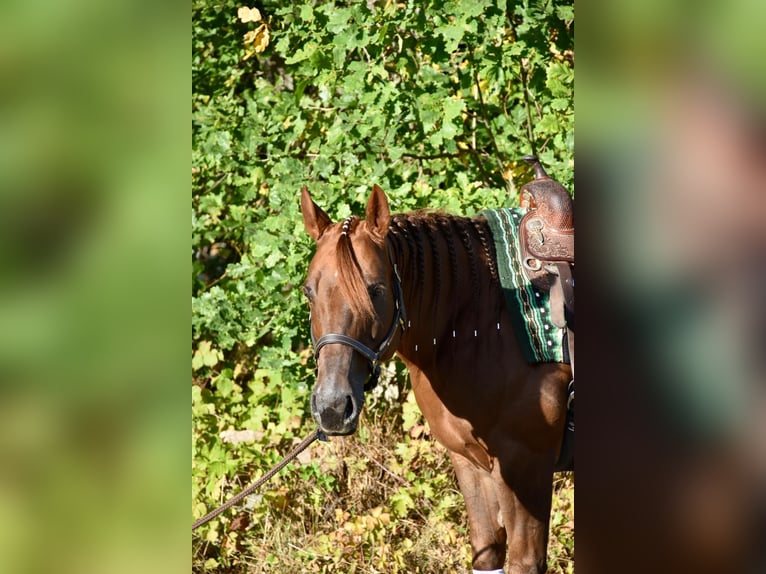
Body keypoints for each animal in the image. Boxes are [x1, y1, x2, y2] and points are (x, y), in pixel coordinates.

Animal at [300, 184, 572, 574]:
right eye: (309, 291)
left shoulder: (527, 468)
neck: (482, 323)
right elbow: (487, 553)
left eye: (376, 290)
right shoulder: (471, 464)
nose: (333, 407)